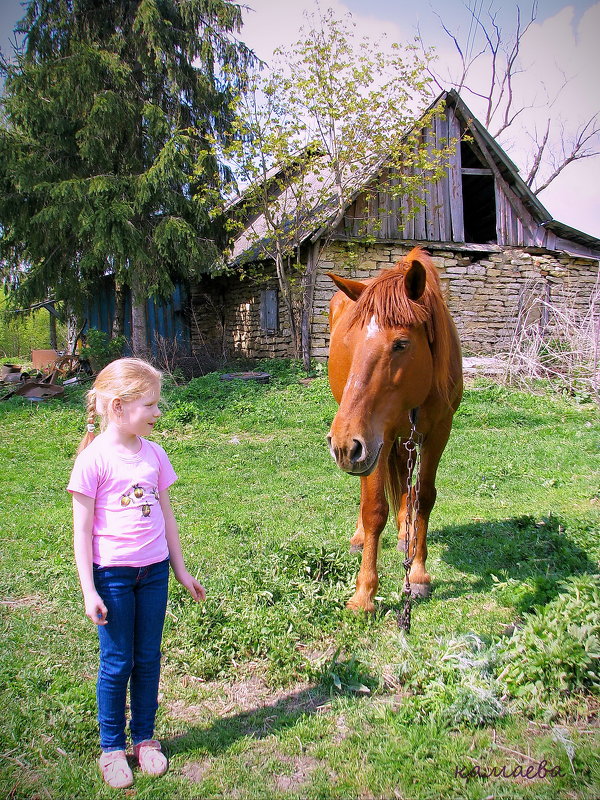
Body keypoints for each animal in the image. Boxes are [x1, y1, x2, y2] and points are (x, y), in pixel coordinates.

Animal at [326, 247, 462, 608]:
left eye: (401, 343)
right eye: (349, 343)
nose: (343, 444)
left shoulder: (438, 431)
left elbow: (423, 496)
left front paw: (418, 573)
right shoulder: (376, 439)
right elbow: (373, 509)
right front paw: (363, 594)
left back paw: (405, 533)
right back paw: (360, 537)